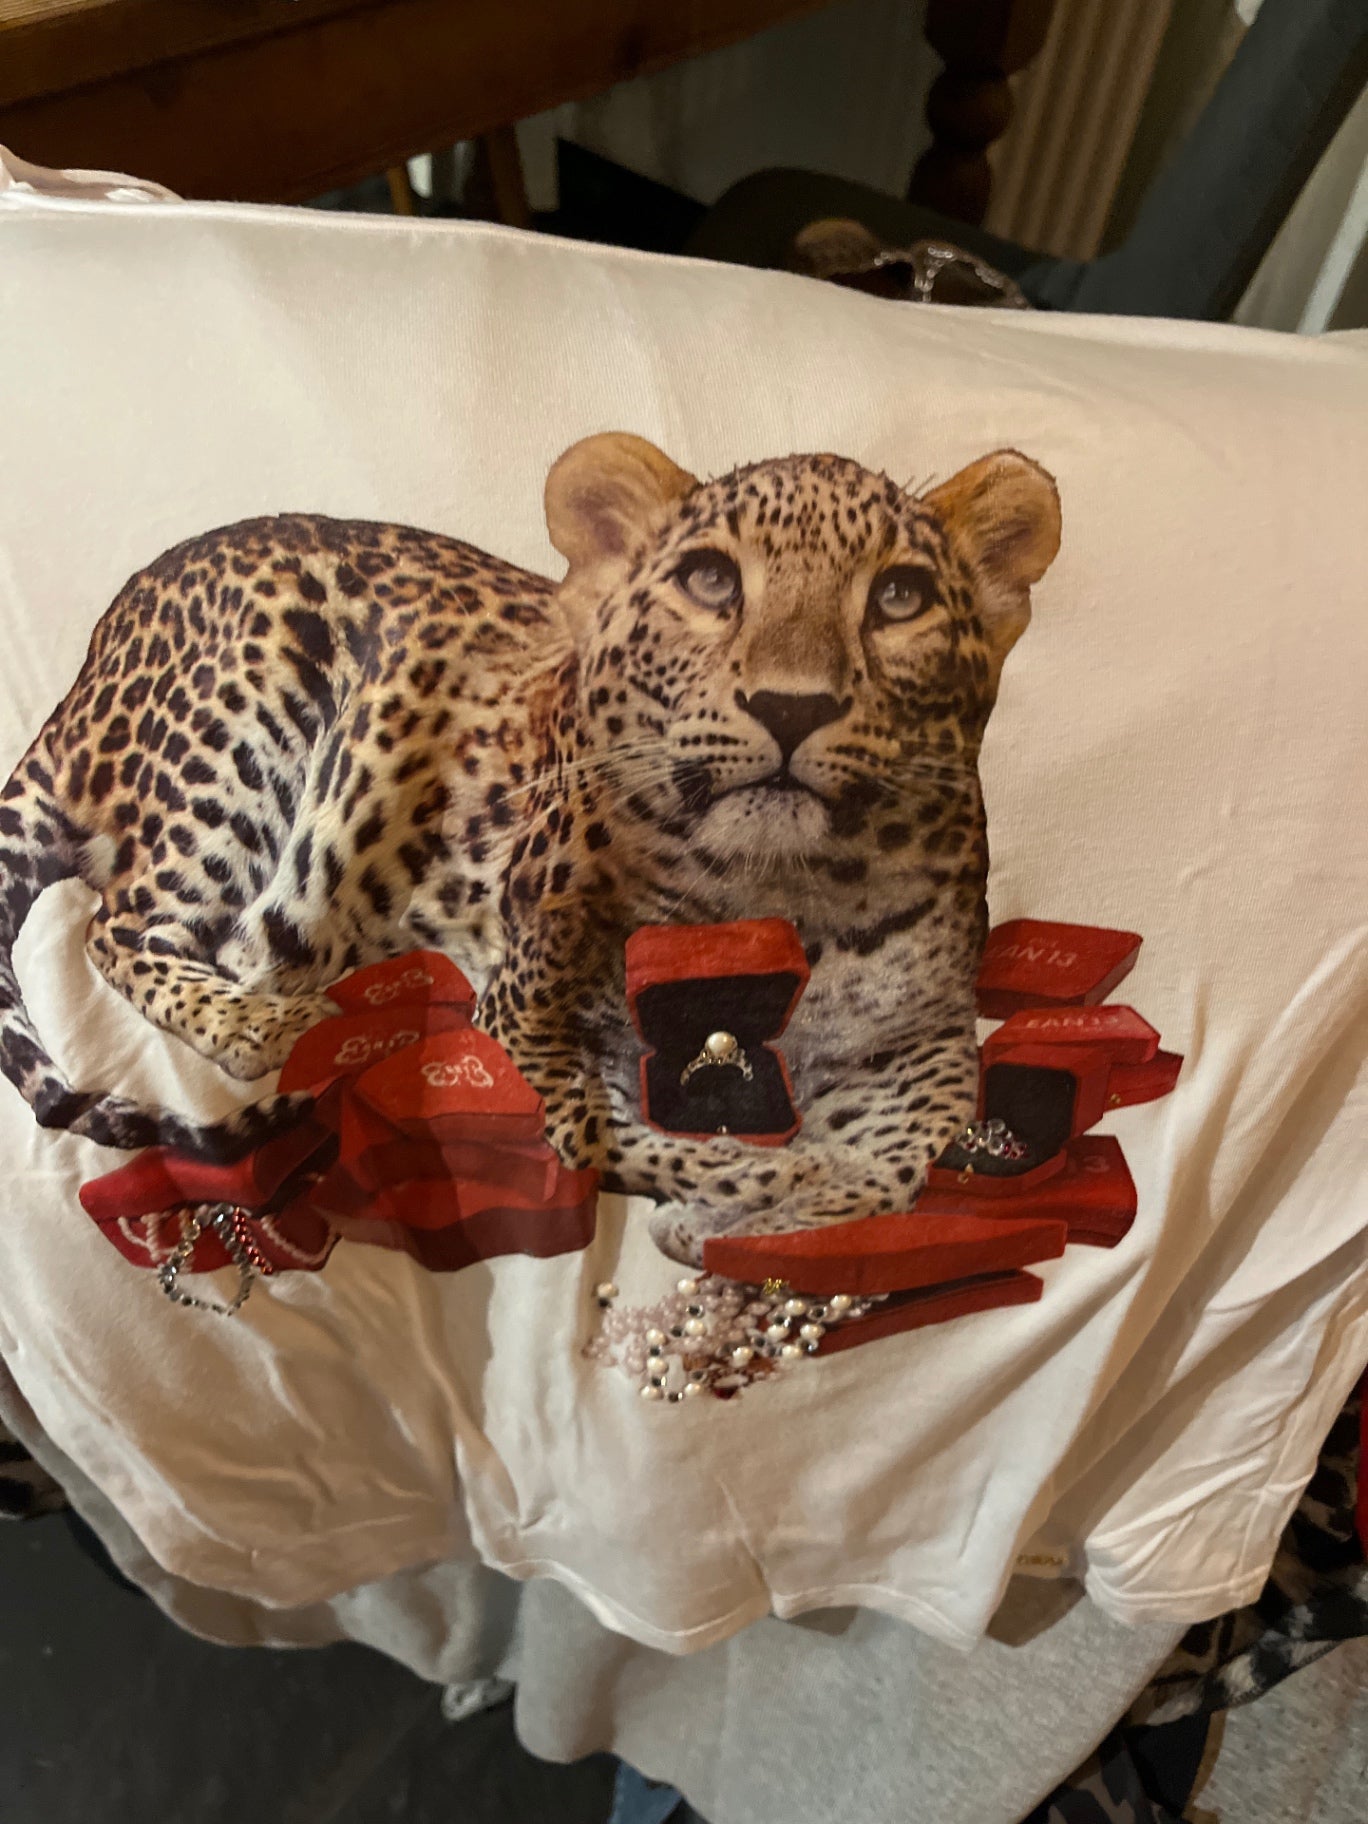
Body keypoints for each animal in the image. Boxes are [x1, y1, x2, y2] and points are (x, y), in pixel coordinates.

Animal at [0, 433, 1060, 1265]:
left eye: (900, 597)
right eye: (711, 581)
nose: (791, 707)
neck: (781, 895)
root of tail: (101, 646)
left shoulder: (923, 1042)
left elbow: (904, 1156)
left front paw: (779, 1206)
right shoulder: (524, 1024)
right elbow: (602, 1133)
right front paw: (743, 1185)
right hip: (239, 743)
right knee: (128, 928)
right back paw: (278, 1026)